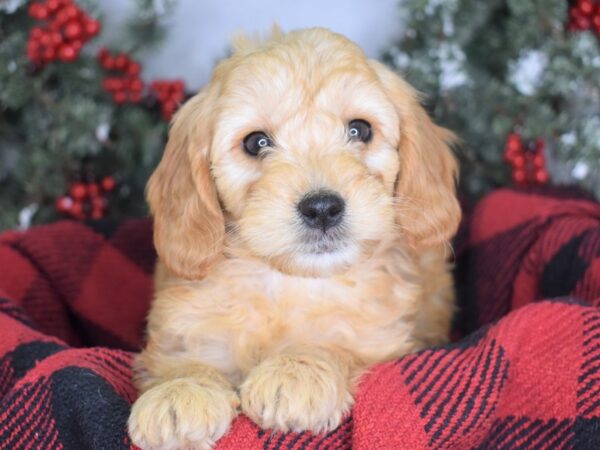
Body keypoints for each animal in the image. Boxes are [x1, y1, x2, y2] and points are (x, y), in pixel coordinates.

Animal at [129, 27, 462, 450]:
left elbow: (335, 338)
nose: (322, 208)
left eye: (360, 129)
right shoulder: (184, 322)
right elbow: (184, 355)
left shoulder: (380, 338)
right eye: (256, 142)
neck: (290, 281)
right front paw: (179, 392)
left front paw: (295, 372)